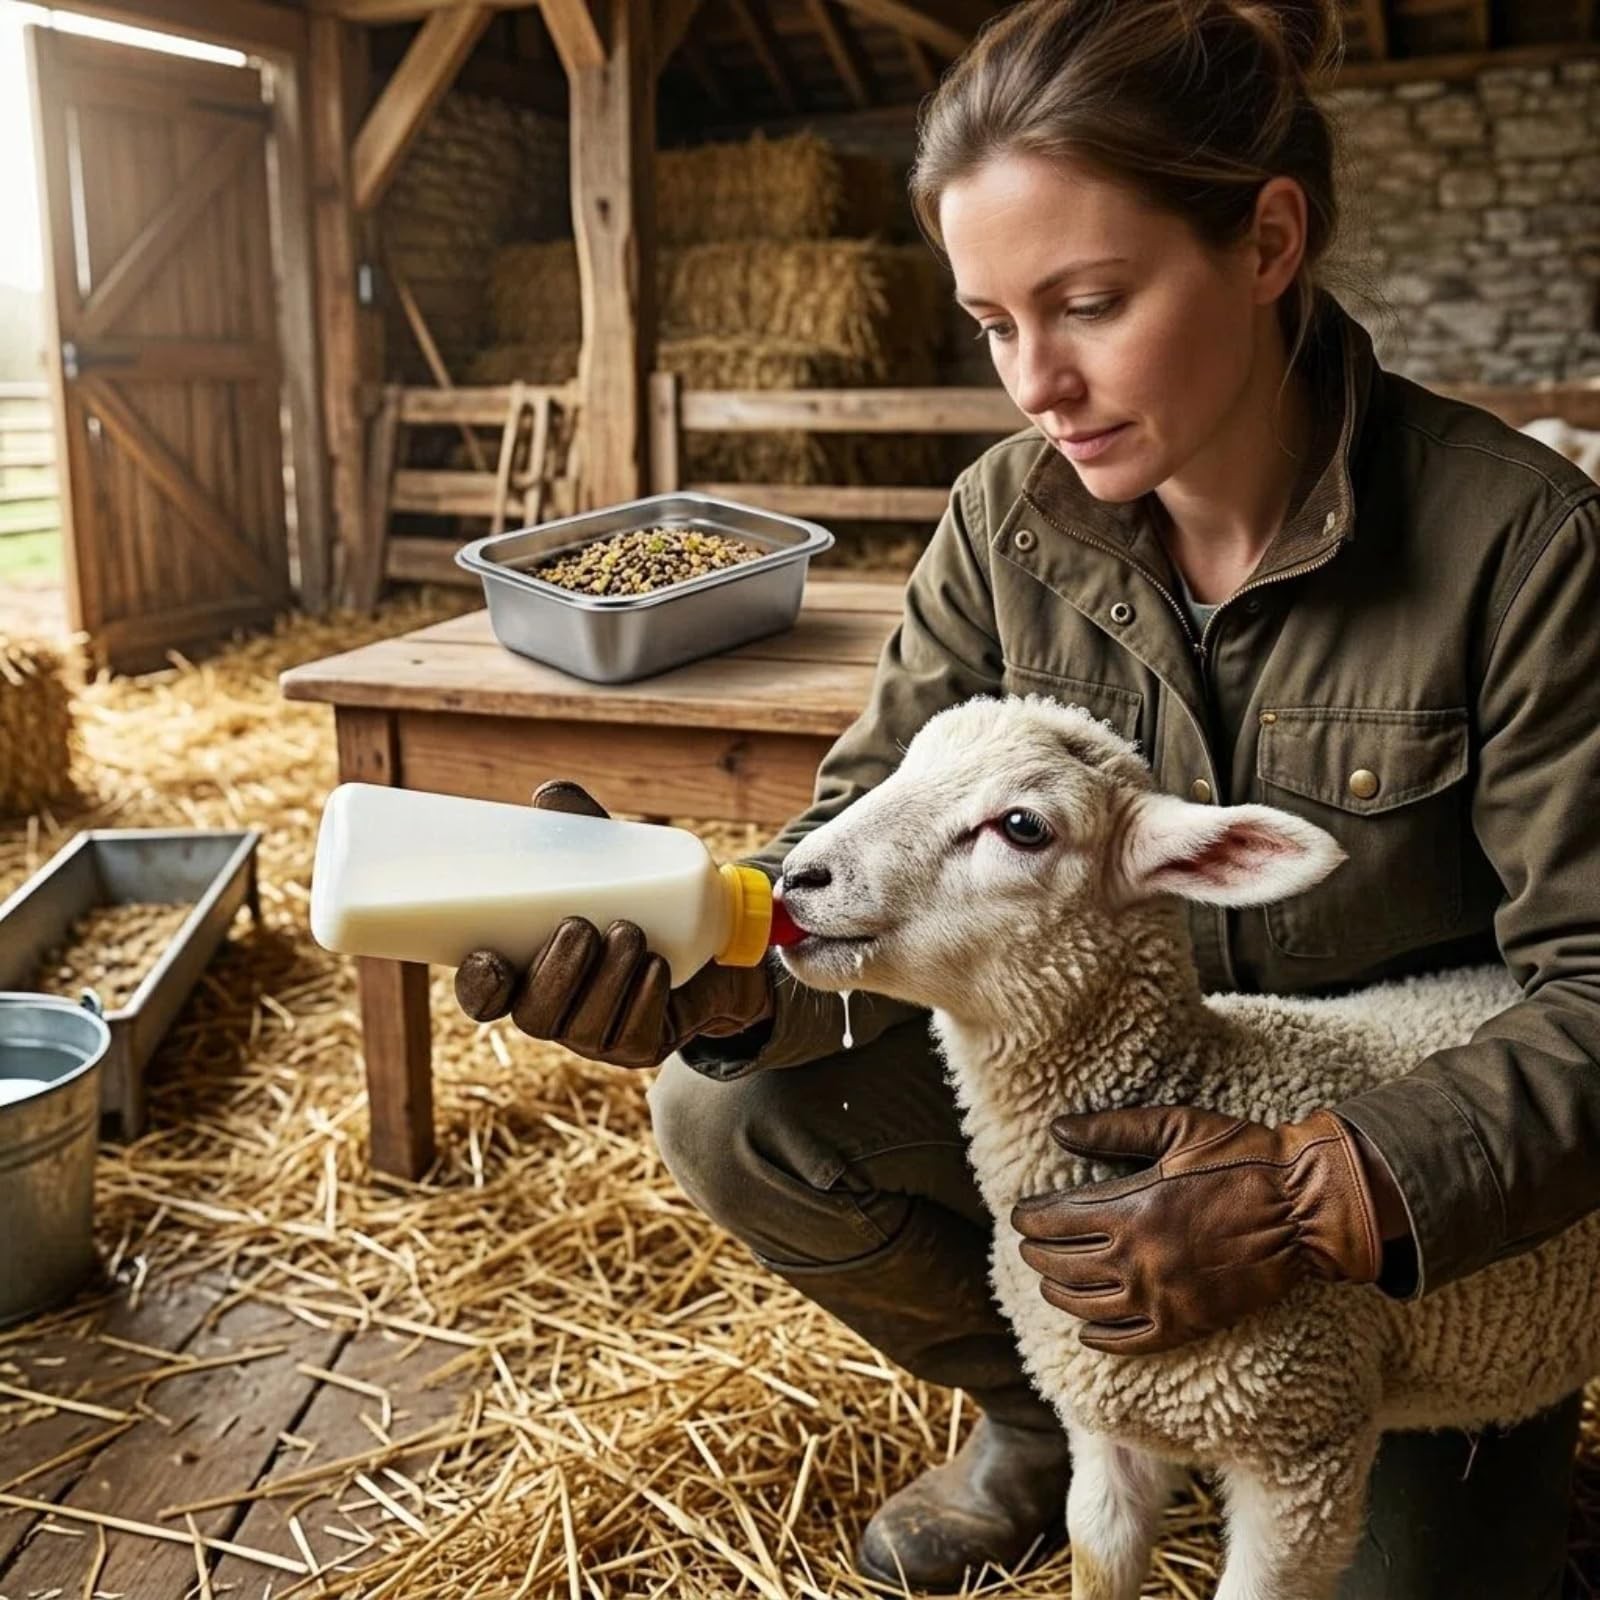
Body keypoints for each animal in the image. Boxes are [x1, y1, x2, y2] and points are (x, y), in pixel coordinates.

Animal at [774, 693, 1600, 1600]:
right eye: (907, 760)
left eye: (1023, 826)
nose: (799, 876)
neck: (1196, 1078)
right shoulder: (1105, 1429)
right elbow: (1097, 1560)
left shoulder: (1302, 1452)